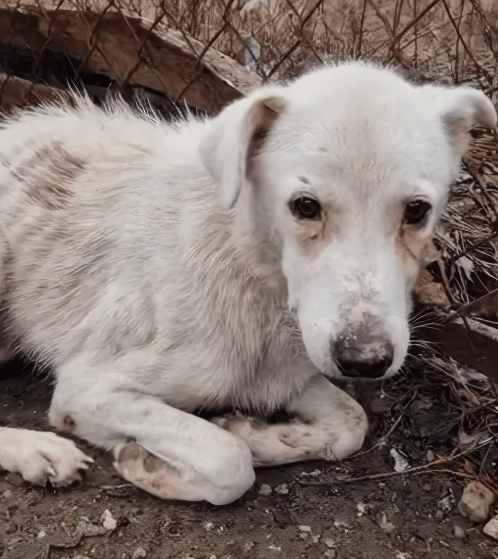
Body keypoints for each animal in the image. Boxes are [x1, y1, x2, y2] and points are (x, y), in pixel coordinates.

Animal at [0, 63, 496, 505]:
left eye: (416, 210)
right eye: (305, 206)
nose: (365, 361)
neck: (252, 272)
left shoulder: (292, 373)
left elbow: (351, 425)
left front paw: (255, 433)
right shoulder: (87, 389)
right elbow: (228, 462)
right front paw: (146, 463)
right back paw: (38, 451)